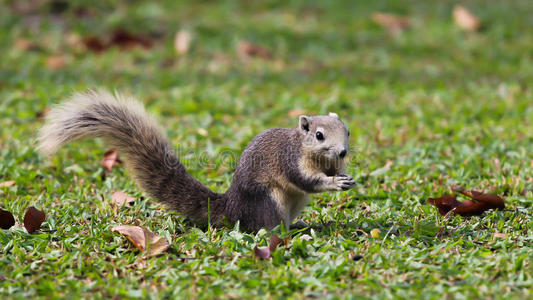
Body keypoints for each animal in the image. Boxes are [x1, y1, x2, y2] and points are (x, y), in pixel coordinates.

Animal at [37, 91, 356, 232]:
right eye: (318, 135)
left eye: (348, 131)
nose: (342, 151)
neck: (317, 157)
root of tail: (233, 207)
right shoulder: (290, 161)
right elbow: (306, 181)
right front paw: (333, 183)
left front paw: (347, 178)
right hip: (270, 200)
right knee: (266, 227)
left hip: (294, 203)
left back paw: (300, 224)